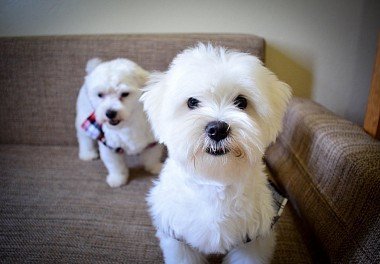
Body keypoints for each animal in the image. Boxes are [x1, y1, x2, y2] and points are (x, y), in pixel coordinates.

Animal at [75, 57, 163, 187]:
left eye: (125, 94)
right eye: (100, 95)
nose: (110, 113)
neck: (128, 124)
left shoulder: (152, 141)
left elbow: (152, 156)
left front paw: (155, 167)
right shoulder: (109, 145)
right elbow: (115, 165)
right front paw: (117, 179)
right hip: (83, 114)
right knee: (84, 137)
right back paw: (87, 153)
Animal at [141, 44, 292, 262]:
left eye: (241, 102)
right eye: (192, 102)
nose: (218, 129)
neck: (215, 180)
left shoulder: (253, 239)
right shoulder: (178, 237)